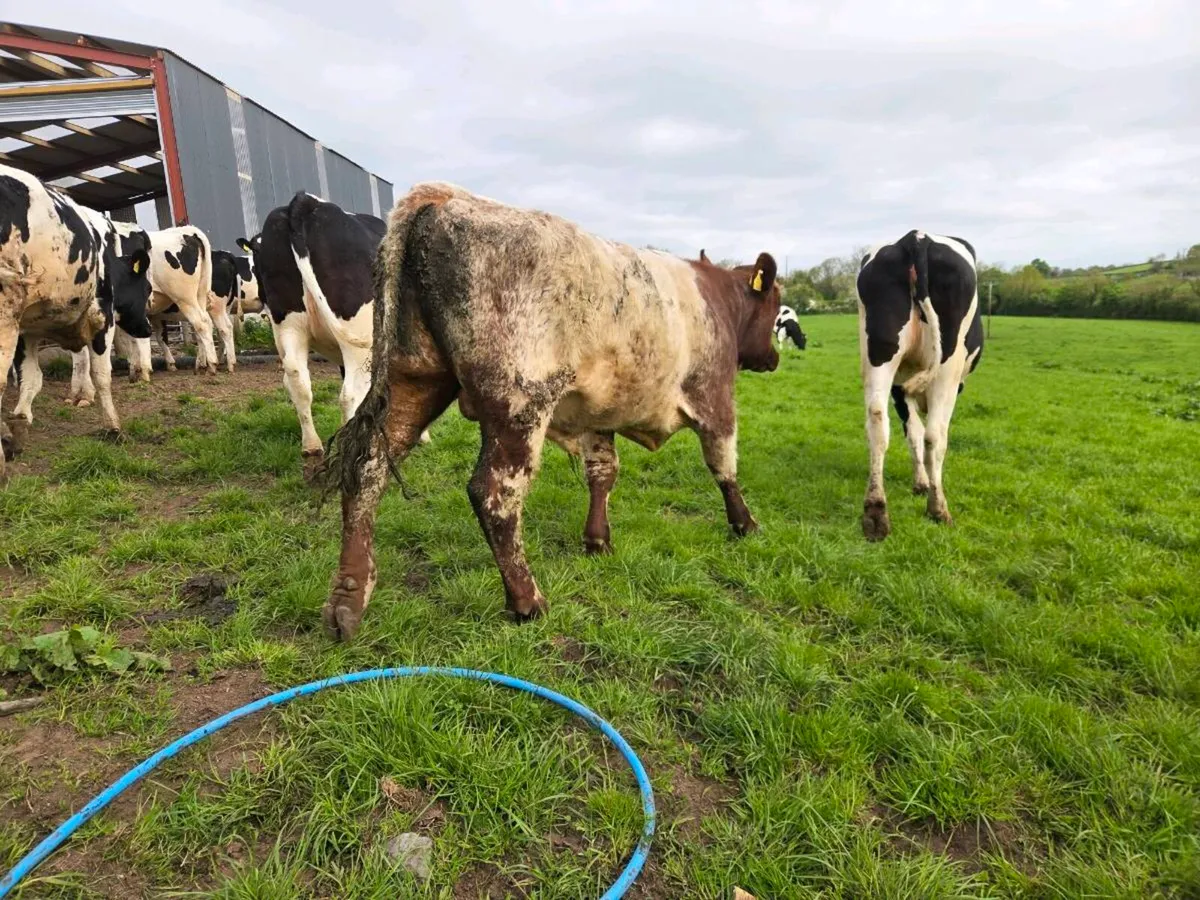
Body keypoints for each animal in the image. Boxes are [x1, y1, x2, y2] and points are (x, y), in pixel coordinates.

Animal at [0, 163, 151, 472]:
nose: (148, 328)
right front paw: (114, 428)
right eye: (148, 288)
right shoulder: (102, 315)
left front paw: (20, 422)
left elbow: (31, 377)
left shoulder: (28, 329)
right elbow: (102, 374)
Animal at [236, 192, 425, 469]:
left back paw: (311, 446)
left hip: (288, 325)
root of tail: (302, 201)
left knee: (298, 381)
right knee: (350, 393)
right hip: (356, 335)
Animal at [315, 181, 782, 641]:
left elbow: (603, 472)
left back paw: (349, 598)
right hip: (520, 404)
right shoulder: (715, 399)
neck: (716, 300)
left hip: (413, 379)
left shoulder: (597, 413)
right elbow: (724, 467)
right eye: (776, 309)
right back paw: (528, 601)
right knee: (494, 493)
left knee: (368, 469)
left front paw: (598, 541)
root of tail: (446, 197)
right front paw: (745, 524)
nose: (774, 359)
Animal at [856, 229, 982, 541]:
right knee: (935, 435)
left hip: (880, 354)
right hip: (946, 369)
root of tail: (917, 237)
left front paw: (920, 482)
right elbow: (924, 435)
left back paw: (876, 512)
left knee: (877, 422)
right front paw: (926, 486)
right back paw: (938, 510)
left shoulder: (899, 388)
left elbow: (911, 432)